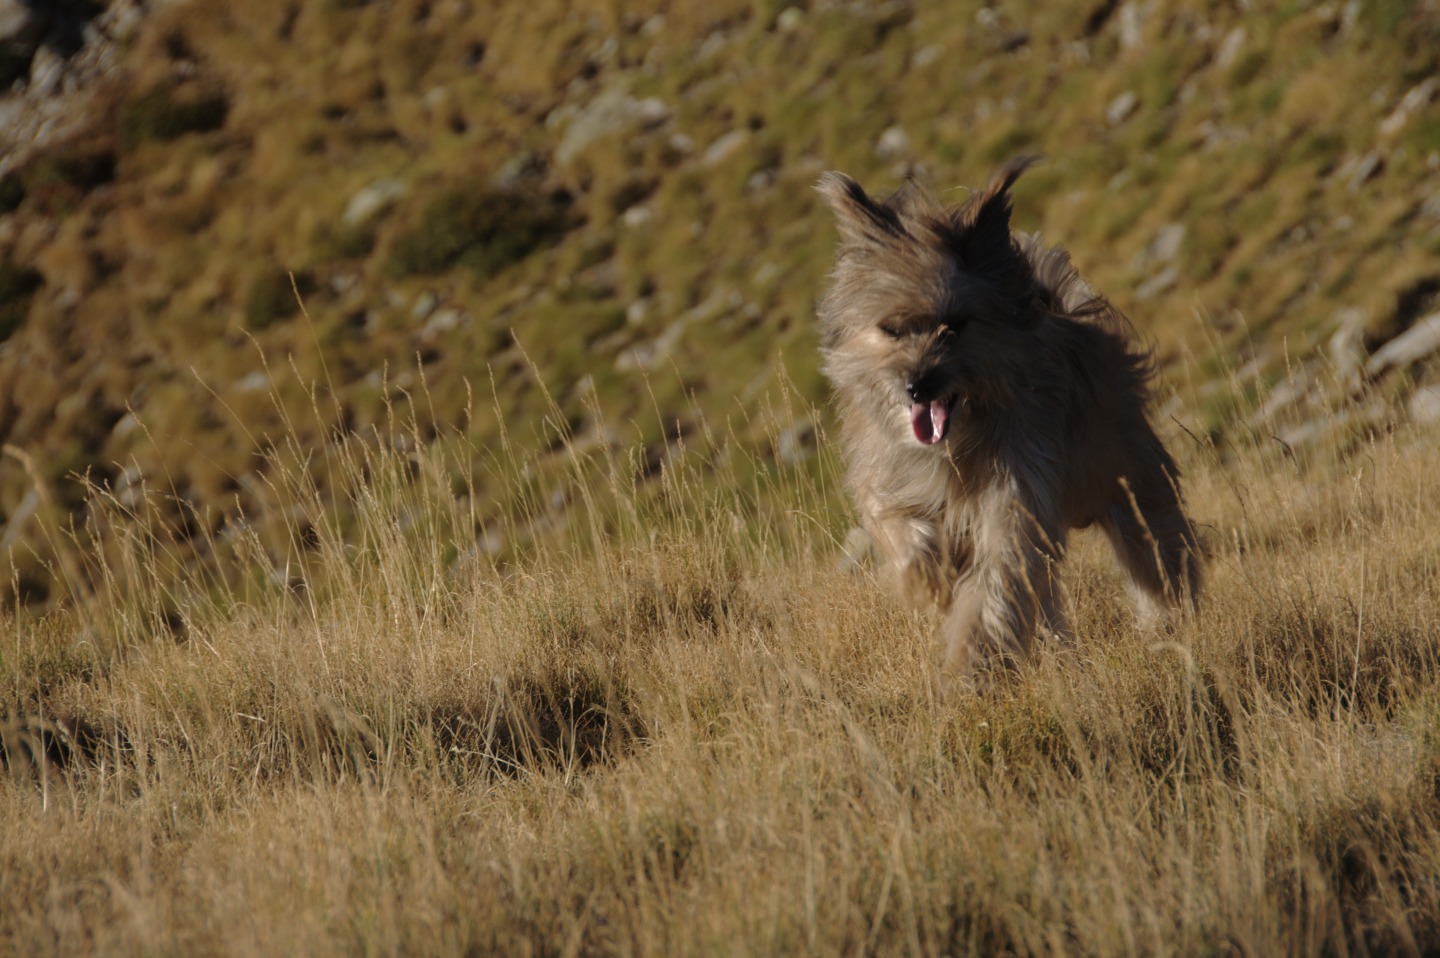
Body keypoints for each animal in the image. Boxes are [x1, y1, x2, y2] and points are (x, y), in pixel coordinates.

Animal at [817, 157, 1198, 682]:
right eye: (890, 329)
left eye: (953, 326)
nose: (917, 386)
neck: (957, 444)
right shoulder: (891, 485)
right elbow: (903, 534)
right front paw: (931, 583)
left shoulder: (1016, 498)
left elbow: (997, 583)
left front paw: (972, 663)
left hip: (1131, 482)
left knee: (1156, 550)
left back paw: (1167, 620)